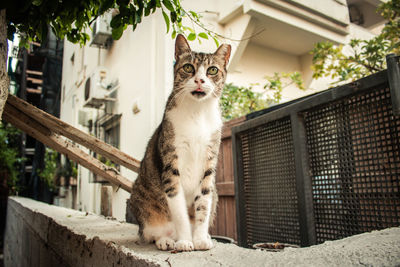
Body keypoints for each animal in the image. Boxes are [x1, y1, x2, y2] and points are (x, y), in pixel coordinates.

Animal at [129, 34, 231, 252]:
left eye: (212, 70)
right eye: (188, 67)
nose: (199, 79)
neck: (197, 113)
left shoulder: (209, 165)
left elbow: (202, 206)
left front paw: (199, 239)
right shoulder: (171, 164)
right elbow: (179, 211)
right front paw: (185, 241)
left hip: (216, 192)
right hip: (140, 199)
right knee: (152, 233)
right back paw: (167, 240)